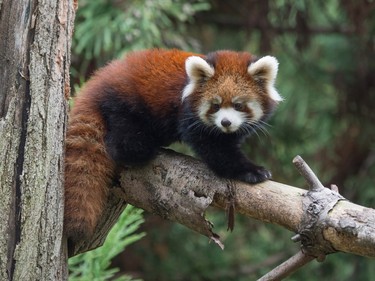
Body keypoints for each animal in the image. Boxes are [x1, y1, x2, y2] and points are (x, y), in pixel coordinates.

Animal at [64, 47, 282, 243]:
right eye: (216, 105)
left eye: (238, 105)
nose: (225, 122)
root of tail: (99, 79)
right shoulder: (189, 117)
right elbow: (216, 152)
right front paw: (251, 171)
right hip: (125, 103)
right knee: (124, 142)